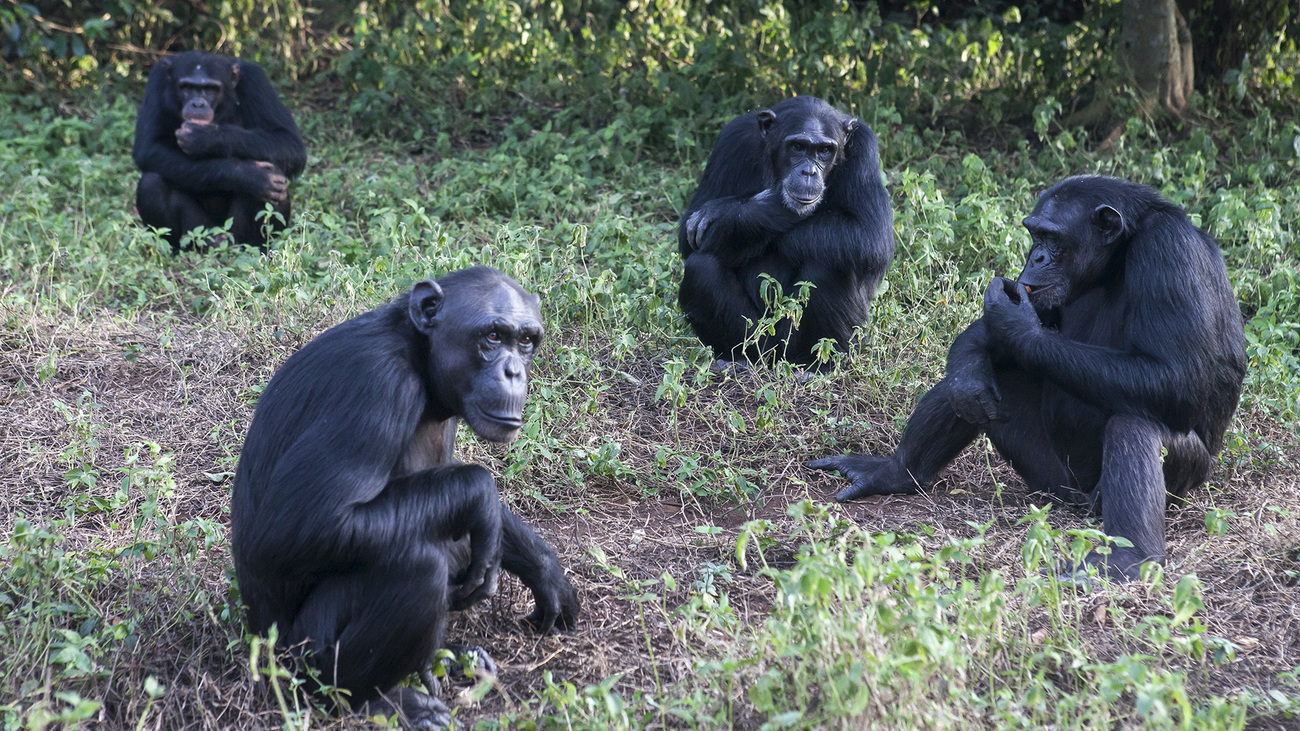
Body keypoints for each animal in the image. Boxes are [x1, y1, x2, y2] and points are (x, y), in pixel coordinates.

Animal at [131, 50, 304, 249]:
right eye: (186, 87)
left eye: (211, 89)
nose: (198, 104)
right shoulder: (157, 79)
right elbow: (150, 148)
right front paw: (252, 176)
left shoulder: (256, 81)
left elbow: (288, 141)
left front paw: (205, 137)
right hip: (200, 233)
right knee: (151, 184)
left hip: (235, 235)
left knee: (275, 181)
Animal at [231, 266, 582, 723]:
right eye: (492, 336)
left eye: (525, 341)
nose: (514, 372)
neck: (419, 358)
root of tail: (260, 641)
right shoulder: (375, 385)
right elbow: (300, 527)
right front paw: (481, 492)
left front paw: (546, 572)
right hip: (300, 656)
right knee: (419, 566)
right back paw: (380, 699)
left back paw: (452, 656)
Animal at [681, 96, 894, 366]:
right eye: (798, 147)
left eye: (825, 151)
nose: (808, 172)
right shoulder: (731, 140)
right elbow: (687, 236)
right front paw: (756, 205)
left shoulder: (865, 149)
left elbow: (871, 234)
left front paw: (721, 211)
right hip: (759, 336)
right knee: (701, 268)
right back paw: (733, 358)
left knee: (833, 261)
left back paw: (814, 365)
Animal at [806, 176, 1242, 580]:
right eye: (1035, 234)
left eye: (1052, 237)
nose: (1037, 255)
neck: (1117, 258)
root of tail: (1078, 501)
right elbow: (981, 347)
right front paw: (973, 364)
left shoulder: (1169, 252)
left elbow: (1175, 377)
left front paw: (1016, 323)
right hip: (1049, 479)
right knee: (984, 376)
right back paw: (894, 470)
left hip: (1165, 484)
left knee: (1135, 425)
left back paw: (1127, 557)